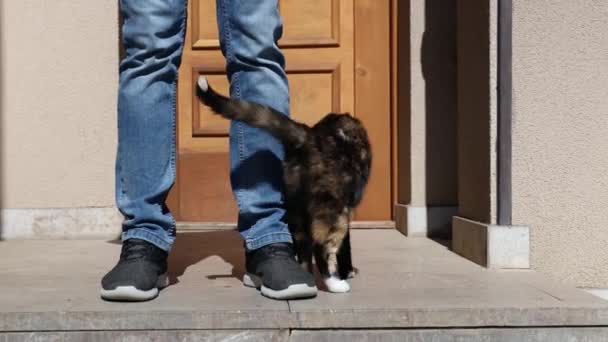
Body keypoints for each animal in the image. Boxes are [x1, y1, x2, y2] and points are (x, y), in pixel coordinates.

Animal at [197, 75, 372, 292]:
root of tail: (308, 136)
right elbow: (345, 246)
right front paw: (348, 270)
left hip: (296, 207)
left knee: (304, 248)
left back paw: (306, 278)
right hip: (333, 208)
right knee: (320, 246)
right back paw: (335, 284)